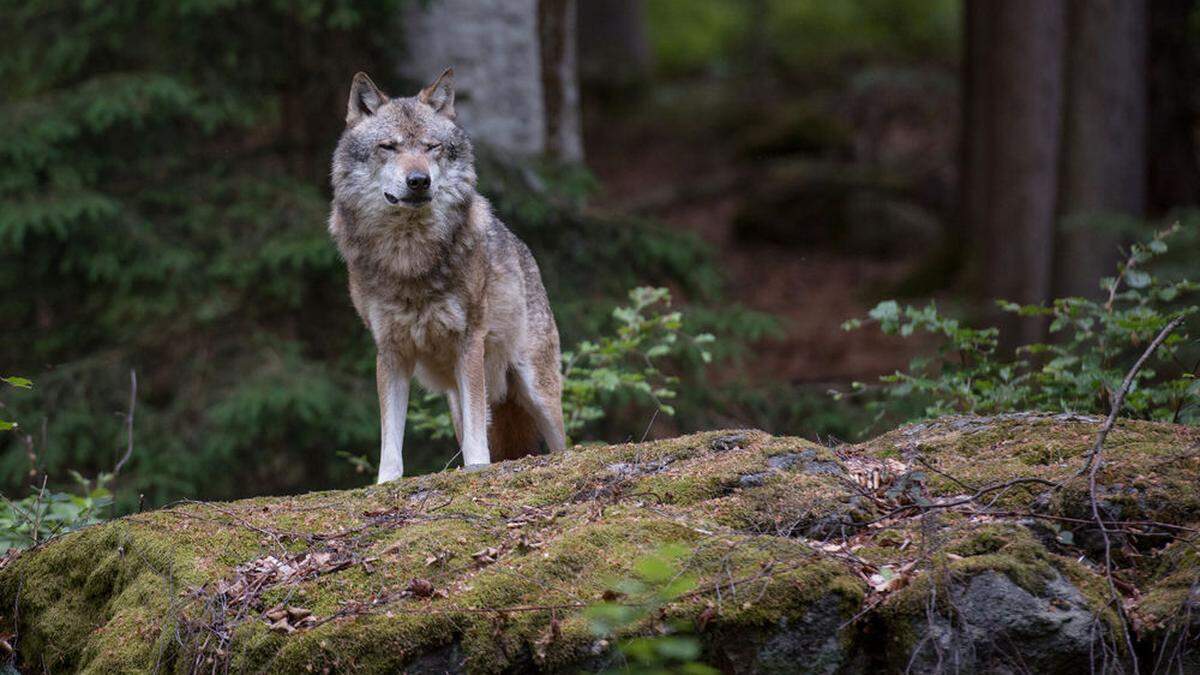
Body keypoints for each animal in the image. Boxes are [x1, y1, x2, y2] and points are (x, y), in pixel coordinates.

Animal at [328, 68, 566, 480]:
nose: (419, 180)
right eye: (388, 147)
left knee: (562, 443)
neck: (409, 256)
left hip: (536, 388)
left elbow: (476, 435)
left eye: (431, 147)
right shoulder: (390, 352)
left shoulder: (469, 343)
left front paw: (477, 469)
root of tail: (524, 251)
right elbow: (391, 438)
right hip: (458, 398)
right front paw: (386, 482)